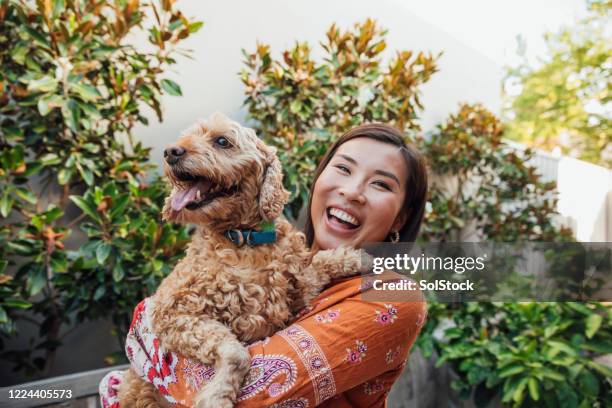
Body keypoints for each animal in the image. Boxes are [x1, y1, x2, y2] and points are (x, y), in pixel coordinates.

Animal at [118, 112, 368, 408]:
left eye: (222, 141)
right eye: (186, 138)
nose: (171, 152)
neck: (245, 238)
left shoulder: (300, 286)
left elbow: (321, 260)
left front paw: (359, 257)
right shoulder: (172, 311)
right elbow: (237, 354)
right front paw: (217, 396)